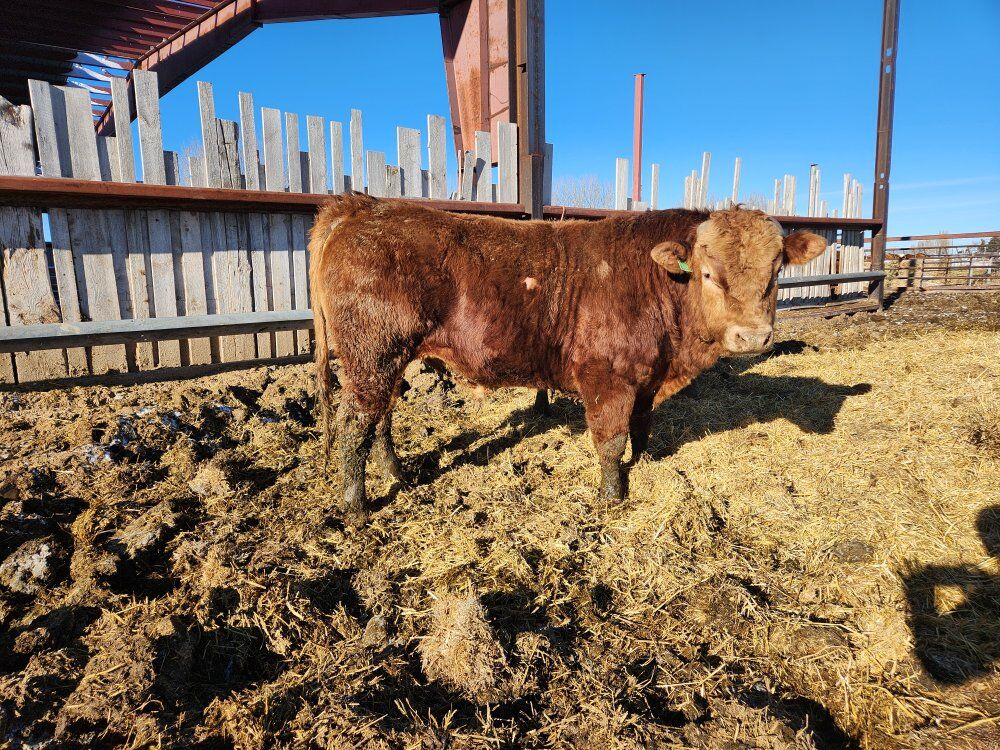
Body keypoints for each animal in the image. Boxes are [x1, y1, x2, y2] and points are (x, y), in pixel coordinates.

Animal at [308, 195, 826, 524]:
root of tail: (362, 206)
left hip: (386, 359)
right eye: (708, 273)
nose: (753, 336)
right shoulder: (606, 378)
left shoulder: (645, 378)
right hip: (372, 354)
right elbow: (610, 441)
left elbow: (642, 428)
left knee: (380, 420)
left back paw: (399, 474)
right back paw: (356, 506)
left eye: (776, 271)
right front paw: (612, 497)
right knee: (355, 424)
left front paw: (645, 463)